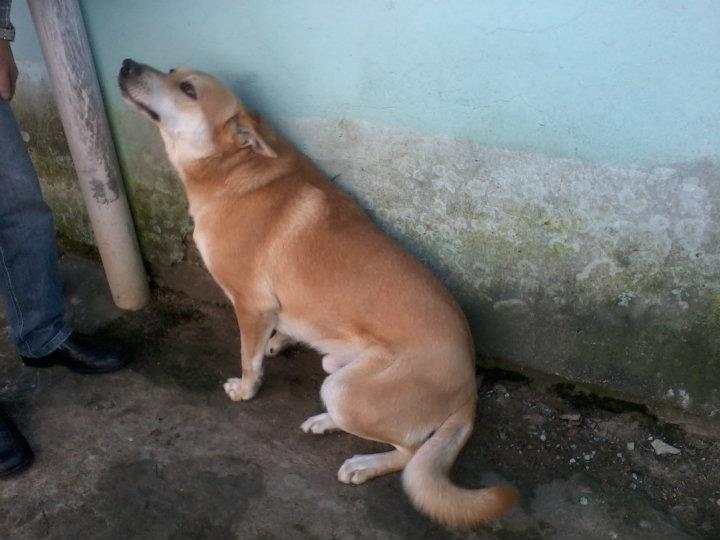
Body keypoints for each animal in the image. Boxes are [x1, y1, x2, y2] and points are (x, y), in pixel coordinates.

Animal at [118, 59, 518, 527]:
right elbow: (278, 332)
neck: (236, 169)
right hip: (337, 372)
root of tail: (469, 387)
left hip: (348, 391)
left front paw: (247, 387)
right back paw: (325, 420)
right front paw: (281, 340)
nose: (127, 64)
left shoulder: (250, 305)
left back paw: (364, 462)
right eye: (170, 70)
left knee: (410, 452)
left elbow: (249, 359)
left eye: (187, 89)